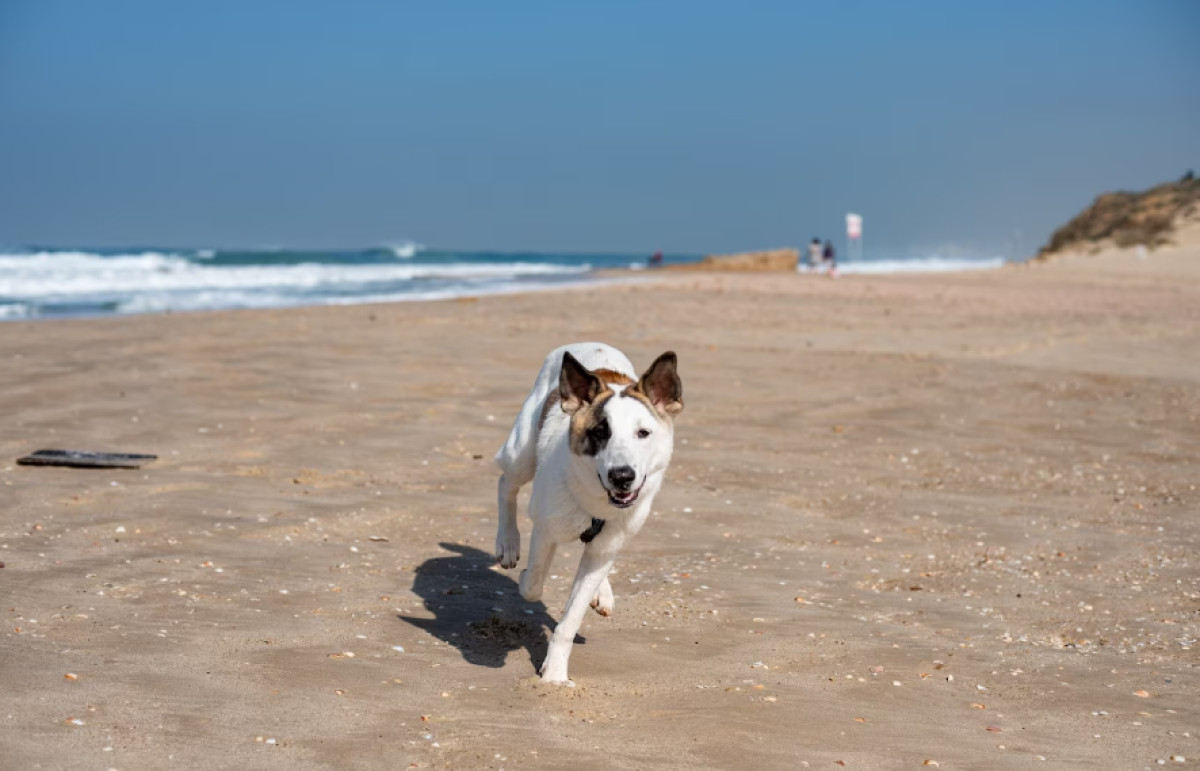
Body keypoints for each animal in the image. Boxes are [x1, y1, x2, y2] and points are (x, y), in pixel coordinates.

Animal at [494, 338, 686, 682]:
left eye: (643, 433)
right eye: (600, 432)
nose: (622, 476)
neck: (596, 501)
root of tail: (591, 344)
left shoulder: (608, 541)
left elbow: (571, 618)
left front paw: (555, 673)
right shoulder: (546, 529)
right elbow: (533, 585)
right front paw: (526, 573)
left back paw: (602, 593)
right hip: (522, 453)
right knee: (507, 483)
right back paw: (507, 542)